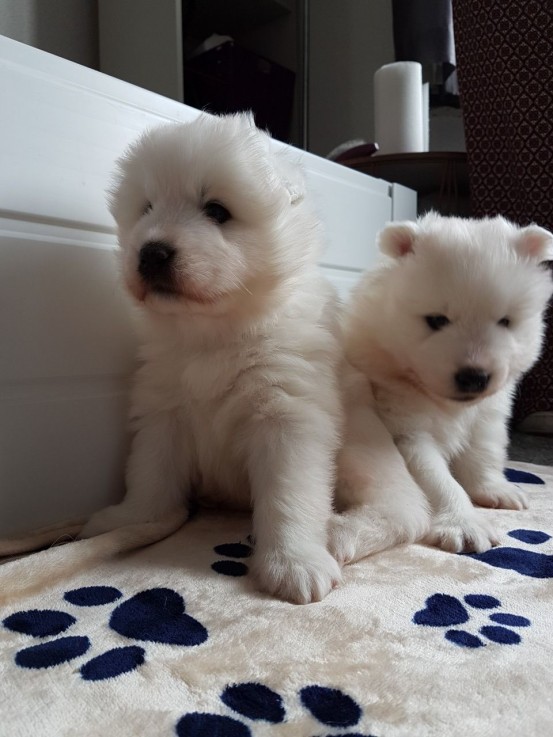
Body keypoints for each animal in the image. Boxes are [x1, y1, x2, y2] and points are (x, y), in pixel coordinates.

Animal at [79, 112, 342, 600]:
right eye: (146, 208)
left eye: (217, 210)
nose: (151, 253)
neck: (213, 334)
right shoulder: (163, 413)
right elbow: (149, 476)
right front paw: (128, 522)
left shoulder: (287, 415)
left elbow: (289, 495)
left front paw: (294, 563)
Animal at [344, 213, 552, 552]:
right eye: (436, 320)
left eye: (505, 321)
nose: (475, 376)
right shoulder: (405, 427)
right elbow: (437, 479)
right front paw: (463, 523)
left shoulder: (488, 413)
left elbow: (484, 450)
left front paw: (495, 488)